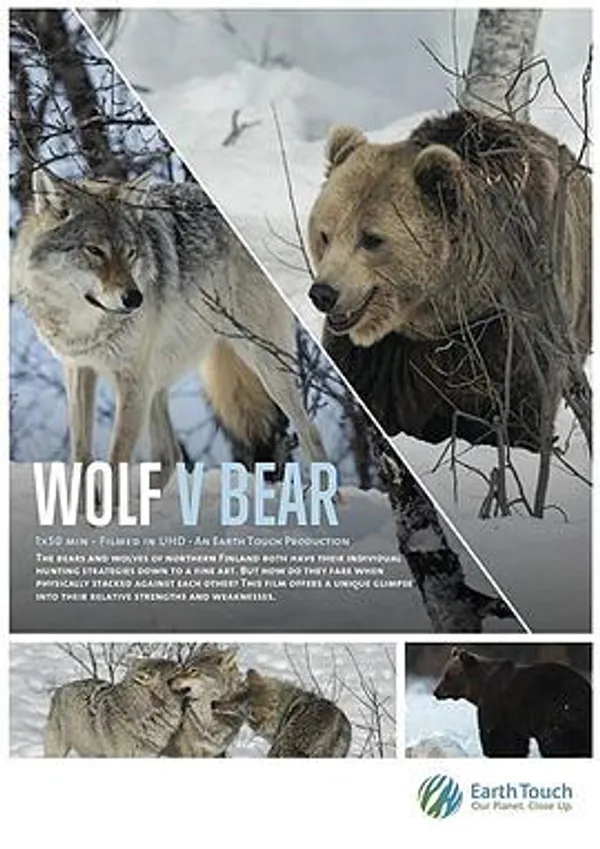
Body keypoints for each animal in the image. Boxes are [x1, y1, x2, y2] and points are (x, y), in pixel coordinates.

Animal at [13, 171, 327, 490]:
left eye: (130, 253)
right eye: (94, 250)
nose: (135, 298)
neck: (84, 326)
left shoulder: (132, 381)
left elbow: (115, 463)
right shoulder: (79, 368)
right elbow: (81, 457)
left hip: (264, 364)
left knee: (310, 432)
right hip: (158, 379)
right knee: (169, 454)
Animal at [307, 110, 591, 450]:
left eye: (371, 239)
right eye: (325, 234)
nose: (324, 293)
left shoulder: (508, 324)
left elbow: (515, 409)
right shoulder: (381, 356)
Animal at [433, 647, 592, 758]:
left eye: (447, 675)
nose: (436, 692)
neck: (480, 687)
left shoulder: (497, 704)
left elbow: (498, 738)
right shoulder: (514, 720)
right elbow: (516, 742)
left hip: (556, 711)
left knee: (555, 743)